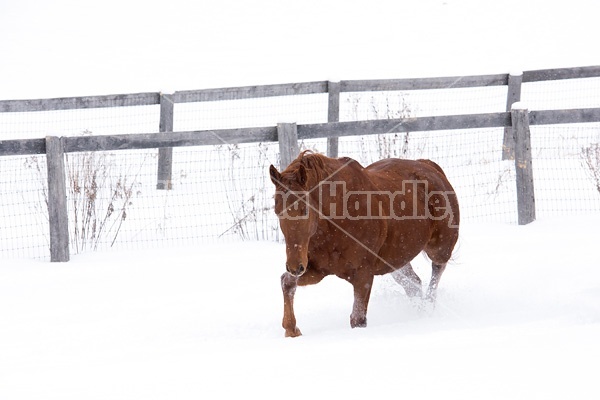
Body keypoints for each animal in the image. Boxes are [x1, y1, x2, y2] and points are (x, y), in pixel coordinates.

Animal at [270, 151, 462, 338]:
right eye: (277, 211)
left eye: (305, 210)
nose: (295, 266)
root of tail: (430, 166)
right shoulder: (318, 270)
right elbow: (287, 282)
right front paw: (291, 329)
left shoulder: (363, 274)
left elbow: (358, 319)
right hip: (396, 261)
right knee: (413, 284)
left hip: (439, 247)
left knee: (437, 270)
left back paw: (429, 306)